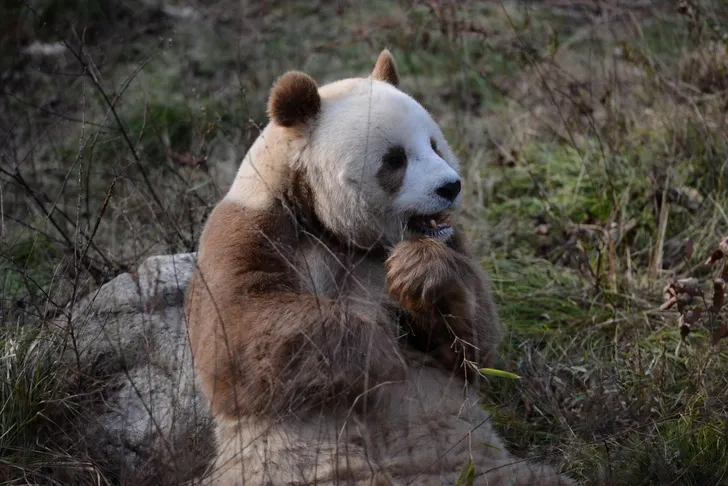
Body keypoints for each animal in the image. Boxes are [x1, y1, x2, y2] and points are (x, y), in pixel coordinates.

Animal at [185, 49, 576, 486]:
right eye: (395, 159)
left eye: (435, 145)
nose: (450, 186)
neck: (331, 228)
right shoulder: (249, 229)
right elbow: (234, 337)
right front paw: (381, 353)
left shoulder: (447, 242)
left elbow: (476, 347)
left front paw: (418, 274)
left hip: (485, 465)